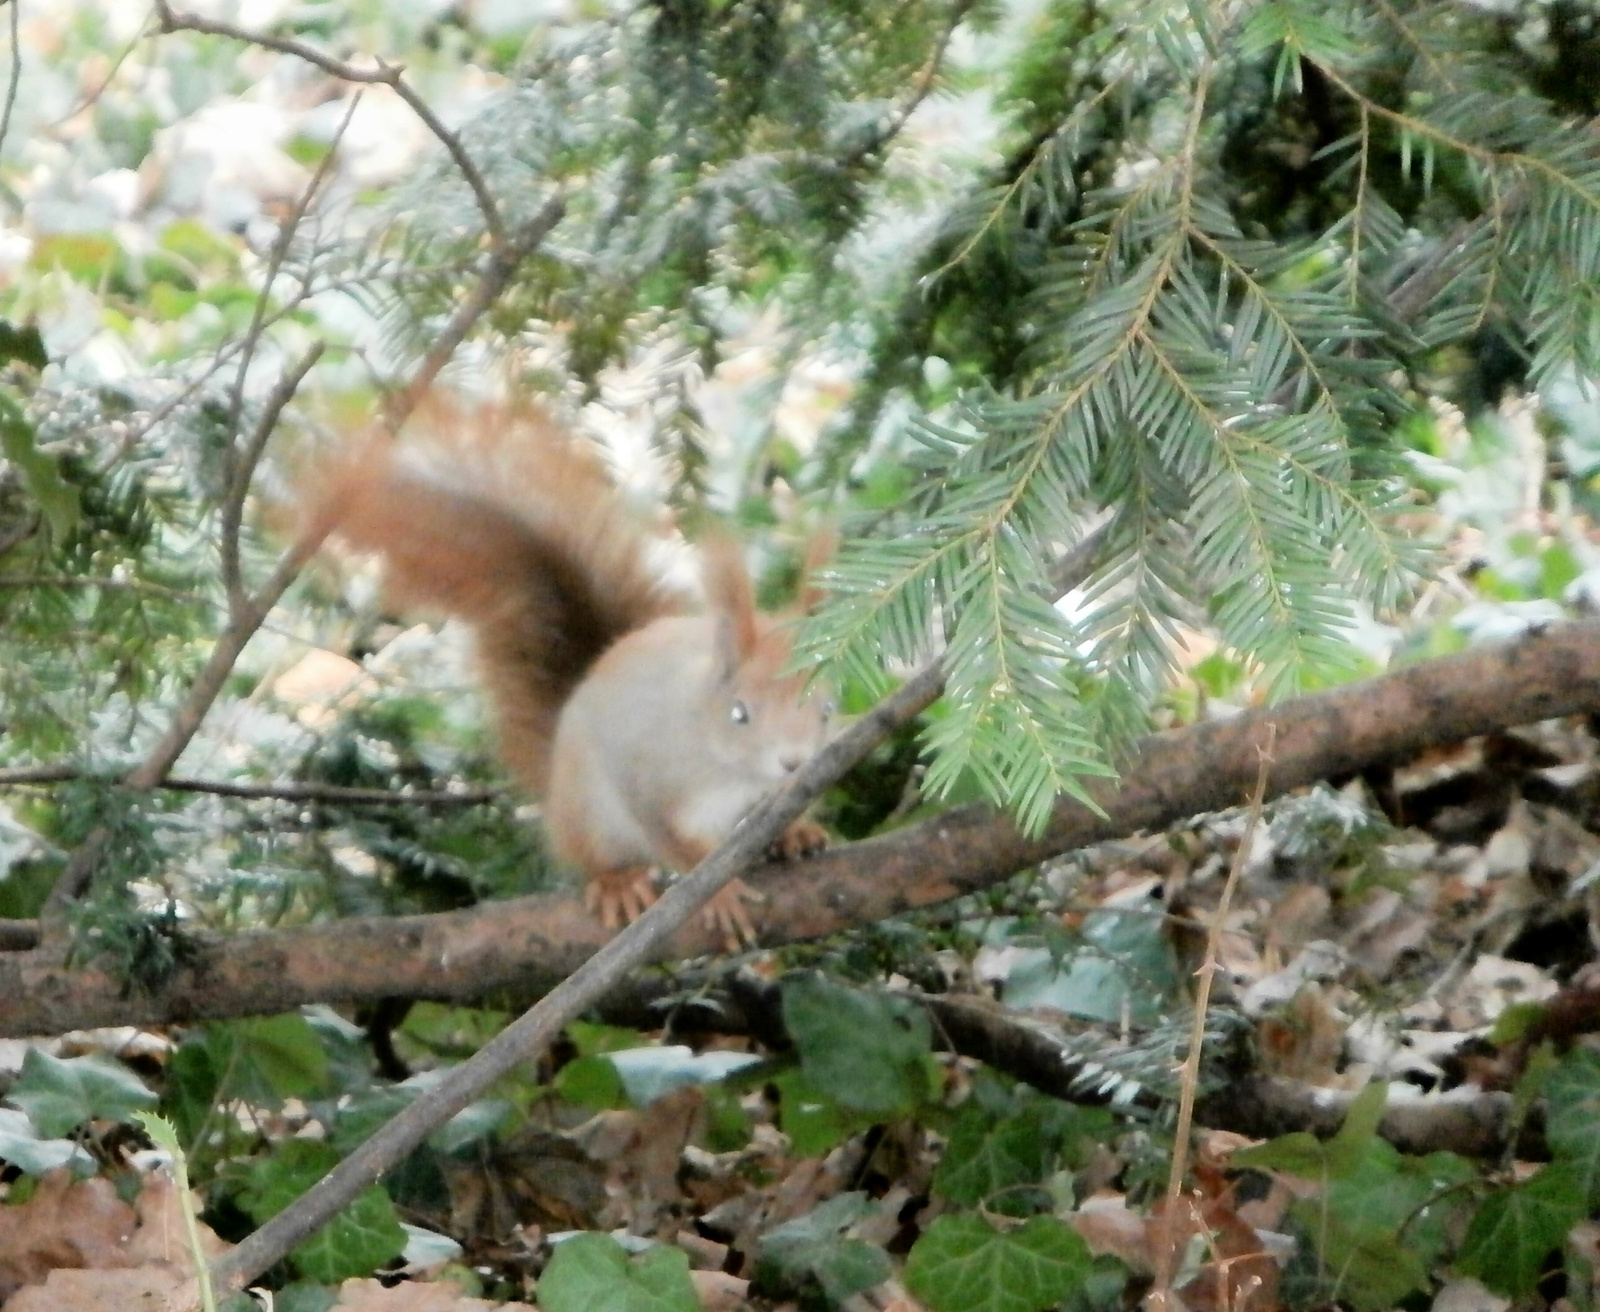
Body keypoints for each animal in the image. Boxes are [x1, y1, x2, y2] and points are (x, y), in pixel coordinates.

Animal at [313, 400, 838, 940]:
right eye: (739, 714)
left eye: (828, 708)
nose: (794, 762)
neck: (732, 769)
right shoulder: (650, 779)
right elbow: (675, 844)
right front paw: (719, 891)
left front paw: (795, 830)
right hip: (588, 811)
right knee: (594, 854)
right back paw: (617, 883)